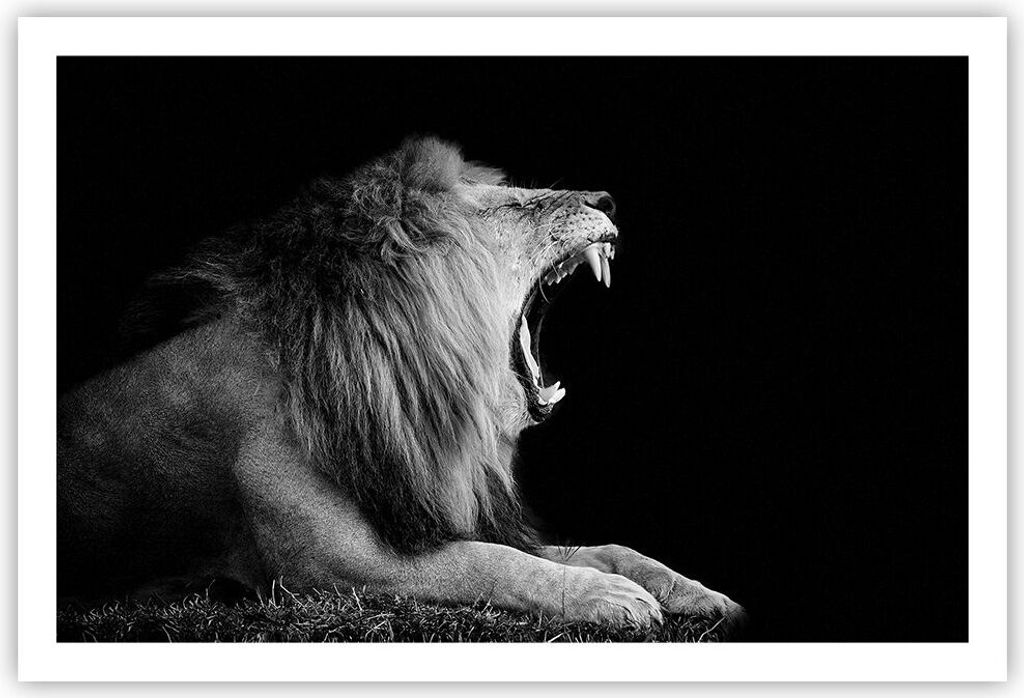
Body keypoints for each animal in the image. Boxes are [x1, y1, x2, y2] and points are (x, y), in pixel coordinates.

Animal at [58, 137, 744, 630]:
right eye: (514, 205)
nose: (607, 200)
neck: (402, 395)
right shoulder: (330, 568)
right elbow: (493, 564)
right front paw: (609, 597)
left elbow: (600, 547)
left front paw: (693, 591)